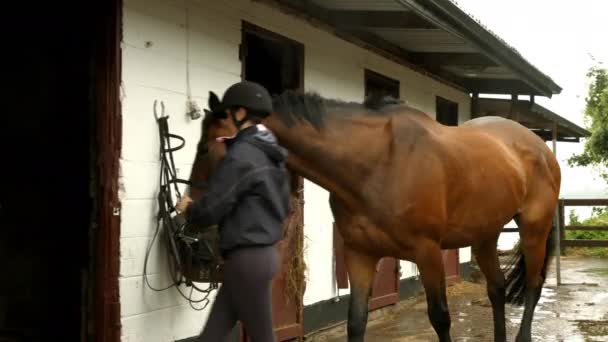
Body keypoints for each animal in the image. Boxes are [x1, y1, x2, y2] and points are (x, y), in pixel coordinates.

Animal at [189, 91, 560, 342]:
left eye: (206, 148)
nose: (191, 215)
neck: (377, 163)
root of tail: (539, 146)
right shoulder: (359, 254)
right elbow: (356, 321)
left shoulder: (427, 252)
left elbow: (440, 317)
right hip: (485, 235)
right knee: (496, 289)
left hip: (533, 229)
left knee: (533, 285)